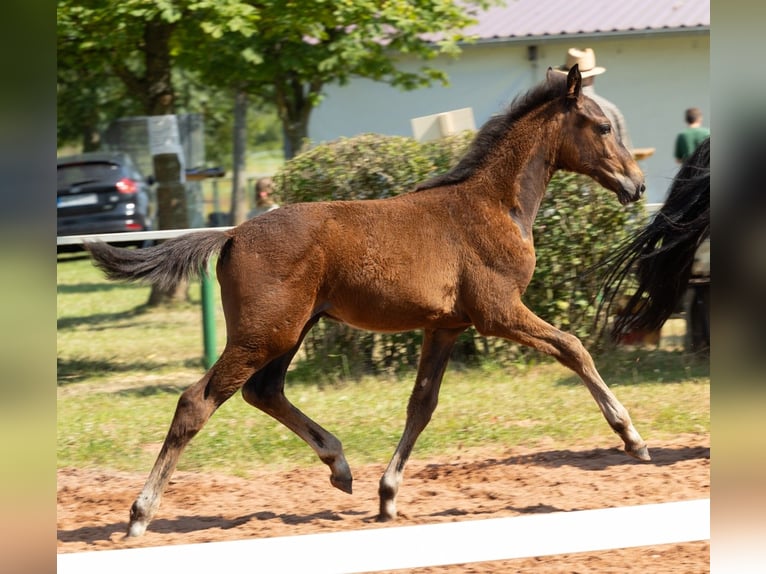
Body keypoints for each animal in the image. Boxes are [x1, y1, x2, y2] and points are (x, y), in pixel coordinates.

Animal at [87, 67, 652, 540]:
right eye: (603, 126)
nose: (638, 184)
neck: (494, 203)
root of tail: (230, 234)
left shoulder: (446, 326)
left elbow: (422, 404)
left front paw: (387, 496)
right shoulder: (498, 312)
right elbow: (573, 346)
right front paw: (631, 437)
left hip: (291, 330)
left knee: (263, 391)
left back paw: (339, 465)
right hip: (264, 333)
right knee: (197, 401)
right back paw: (140, 514)